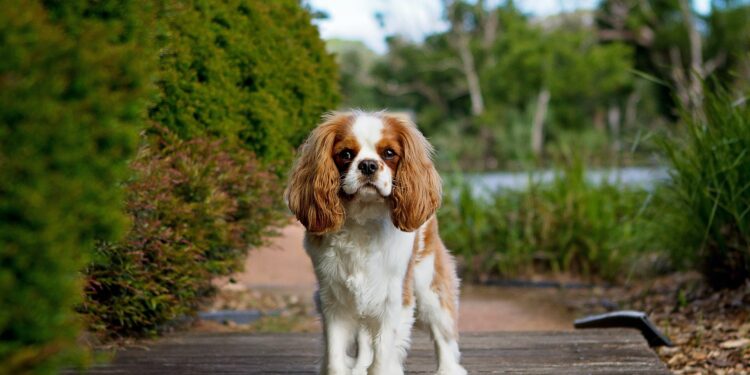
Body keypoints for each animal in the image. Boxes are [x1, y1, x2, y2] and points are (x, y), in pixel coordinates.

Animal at [286, 110, 468, 374]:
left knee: (443, 332)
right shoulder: (333, 301)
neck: (363, 220)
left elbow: (383, 355)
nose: (368, 165)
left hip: (428, 286)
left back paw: (448, 369)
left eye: (389, 153)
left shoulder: (392, 299)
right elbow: (335, 356)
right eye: (346, 154)